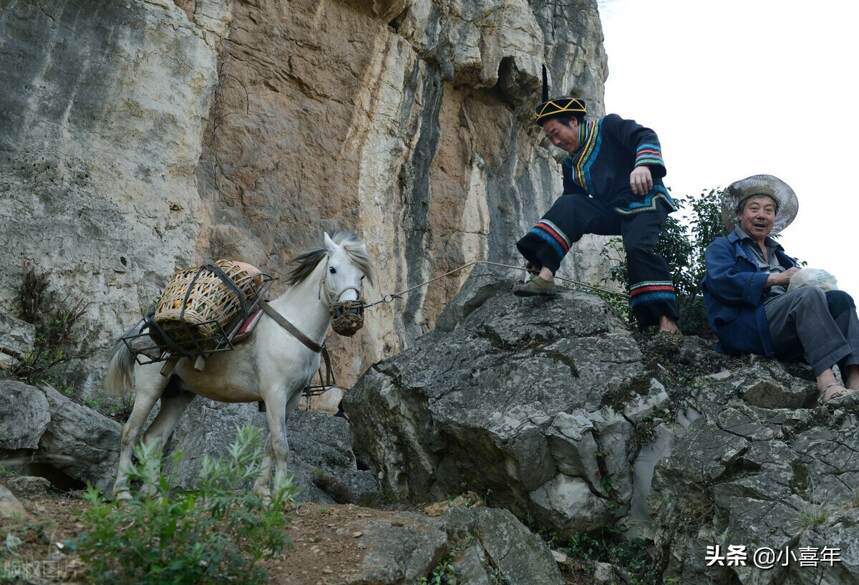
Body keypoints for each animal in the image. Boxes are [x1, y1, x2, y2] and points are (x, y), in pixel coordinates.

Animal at [104, 230, 372, 500]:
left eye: (361, 275)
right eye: (333, 269)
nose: (350, 314)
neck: (293, 327)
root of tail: (145, 326)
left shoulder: (291, 398)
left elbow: (270, 444)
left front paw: (262, 492)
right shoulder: (275, 394)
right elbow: (281, 446)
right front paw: (280, 497)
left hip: (178, 394)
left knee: (153, 437)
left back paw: (152, 493)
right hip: (150, 388)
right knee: (130, 433)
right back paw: (123, 492)